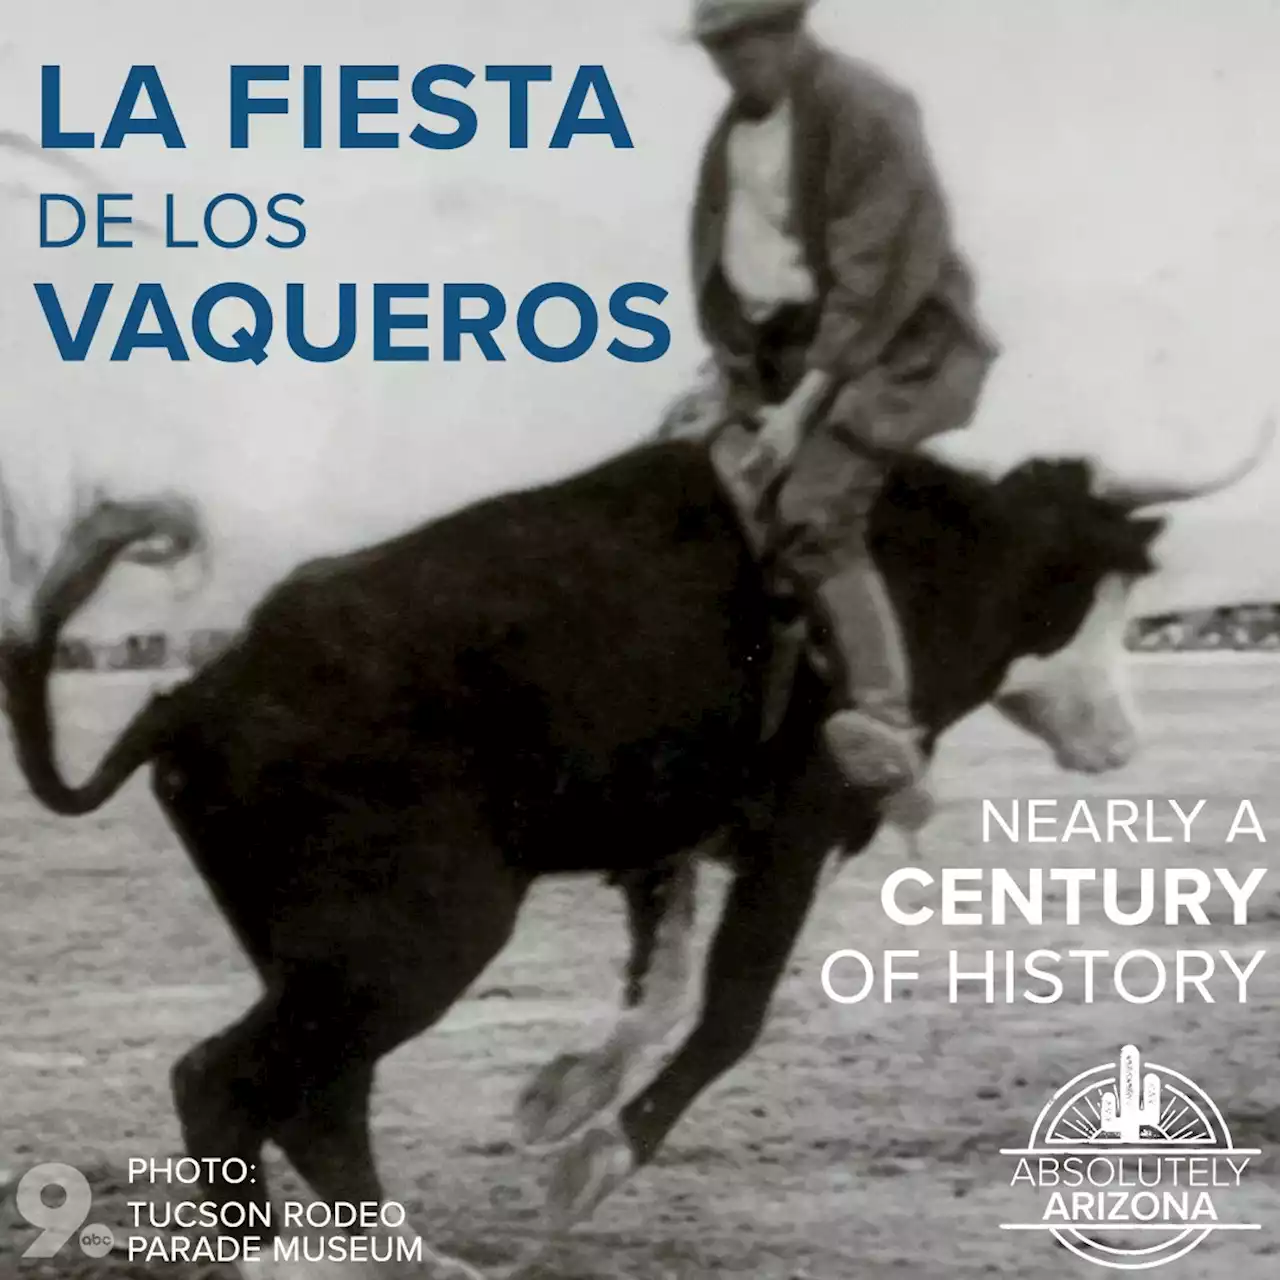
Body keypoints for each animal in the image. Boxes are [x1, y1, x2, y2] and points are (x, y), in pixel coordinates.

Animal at [0, 414, 1264, 1274]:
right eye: (1104, 580)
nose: (1116, 739)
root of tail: (197, 691)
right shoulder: (795, 824)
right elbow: (728, 1011)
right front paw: (590, 1154)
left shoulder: (670, 850)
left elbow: (654, 994)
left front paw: (561, 1099)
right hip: (412, 937)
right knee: (232, 1080)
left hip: (325, 955)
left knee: (316, 1094)